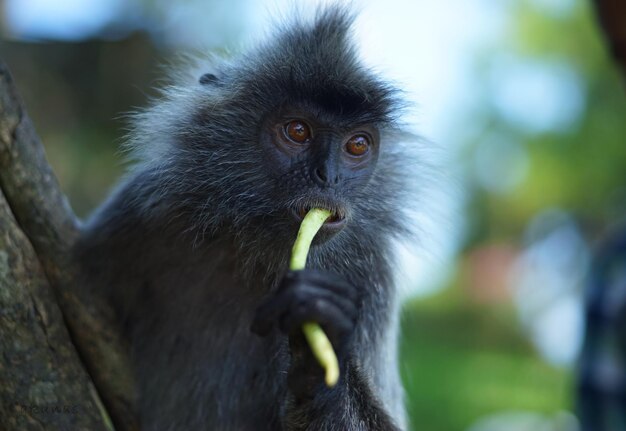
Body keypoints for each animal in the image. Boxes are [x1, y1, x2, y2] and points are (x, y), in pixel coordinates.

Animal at [75, 6, 412, 431]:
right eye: (297, 131)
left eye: (357, 145)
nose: (328, 177)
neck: (253, 246)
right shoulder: (144, 210)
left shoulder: (373, 274)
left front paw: (324, 345)